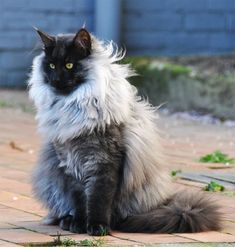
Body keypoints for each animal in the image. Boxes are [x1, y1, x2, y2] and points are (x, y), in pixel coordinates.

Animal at [28, 27, 221, 235]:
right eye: (51, 66)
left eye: (69, 65)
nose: (55, 80)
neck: (72, 105)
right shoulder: (69, 164)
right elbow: (79, 199)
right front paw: (79, 224)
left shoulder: (104, 163)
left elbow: (98, 200)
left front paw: (97, 227)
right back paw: (66, 219)